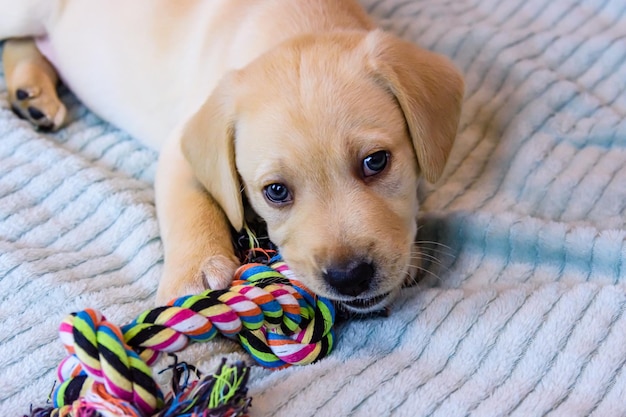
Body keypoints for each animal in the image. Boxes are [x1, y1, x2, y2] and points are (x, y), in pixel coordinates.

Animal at [1, 0, 464, 312]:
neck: (293, 23)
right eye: (276, 191)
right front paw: (194, 272)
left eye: (376, 162)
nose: (349, 278)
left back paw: (31, 93)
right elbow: (190, 204)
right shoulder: (182, 146)